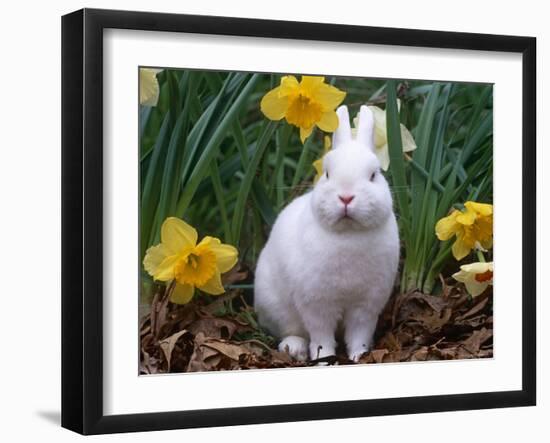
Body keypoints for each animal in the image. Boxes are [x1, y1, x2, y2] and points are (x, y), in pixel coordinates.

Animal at [254, 106, 402, 362]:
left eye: (374, 175)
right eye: (327, 174)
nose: (346, 197)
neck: (348, 235)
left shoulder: (366, 305)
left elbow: (359, 333)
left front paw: (359, 356)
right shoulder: (316, 303)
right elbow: (321, 334)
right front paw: (324, 359)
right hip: (276, 308)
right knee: (292, 331)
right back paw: (295, 349)